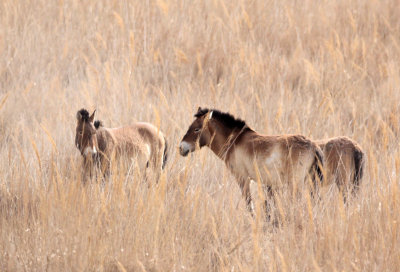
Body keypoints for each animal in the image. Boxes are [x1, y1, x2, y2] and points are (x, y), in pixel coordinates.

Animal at [180, 107, 324, 211]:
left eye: (196, 129)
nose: (181, 147)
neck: (235, 141)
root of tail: (313, 146)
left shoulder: (243, 178)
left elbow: (249, 204)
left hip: (296, 184)